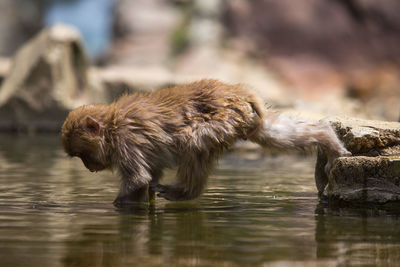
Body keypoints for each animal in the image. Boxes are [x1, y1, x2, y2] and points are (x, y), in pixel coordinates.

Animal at [61, 78, 352, 206]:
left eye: (84, 155)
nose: (89, 167)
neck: (111, 126)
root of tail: (236, 90)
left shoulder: (126, 142)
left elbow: (138, 178)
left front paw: (116, 207)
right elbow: (150, 174)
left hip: (223, 119)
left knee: (193, 141)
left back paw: (184, 192)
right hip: (245, 119)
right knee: (271, 133)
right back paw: (329, 139)